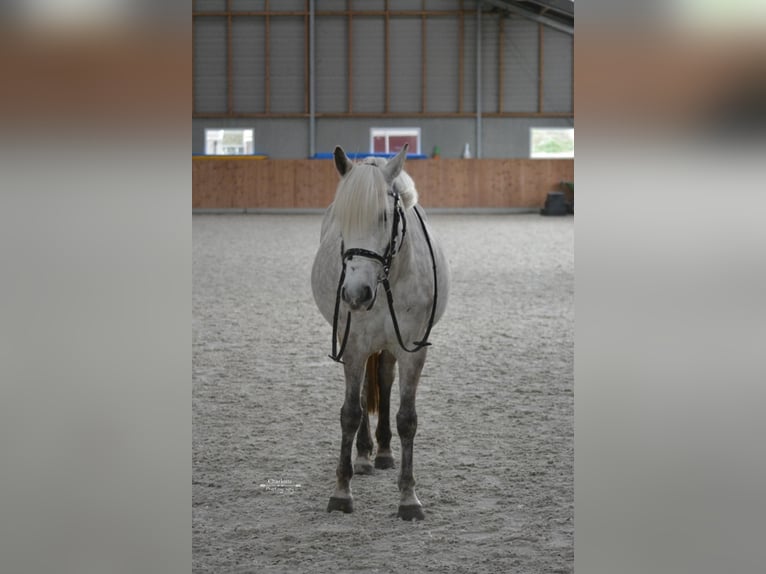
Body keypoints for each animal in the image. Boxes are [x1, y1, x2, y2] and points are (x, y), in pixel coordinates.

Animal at [311, 144, 450, 521]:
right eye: (343, 219)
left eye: (385, 218)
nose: (355, 294)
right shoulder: (354, 346)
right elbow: (350, 413)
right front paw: (341, 492)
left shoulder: (413, 349)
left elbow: (407, 419)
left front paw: (408, 497)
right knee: (363, 395)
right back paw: (363, 455)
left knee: (385, 380)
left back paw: (384, 451)